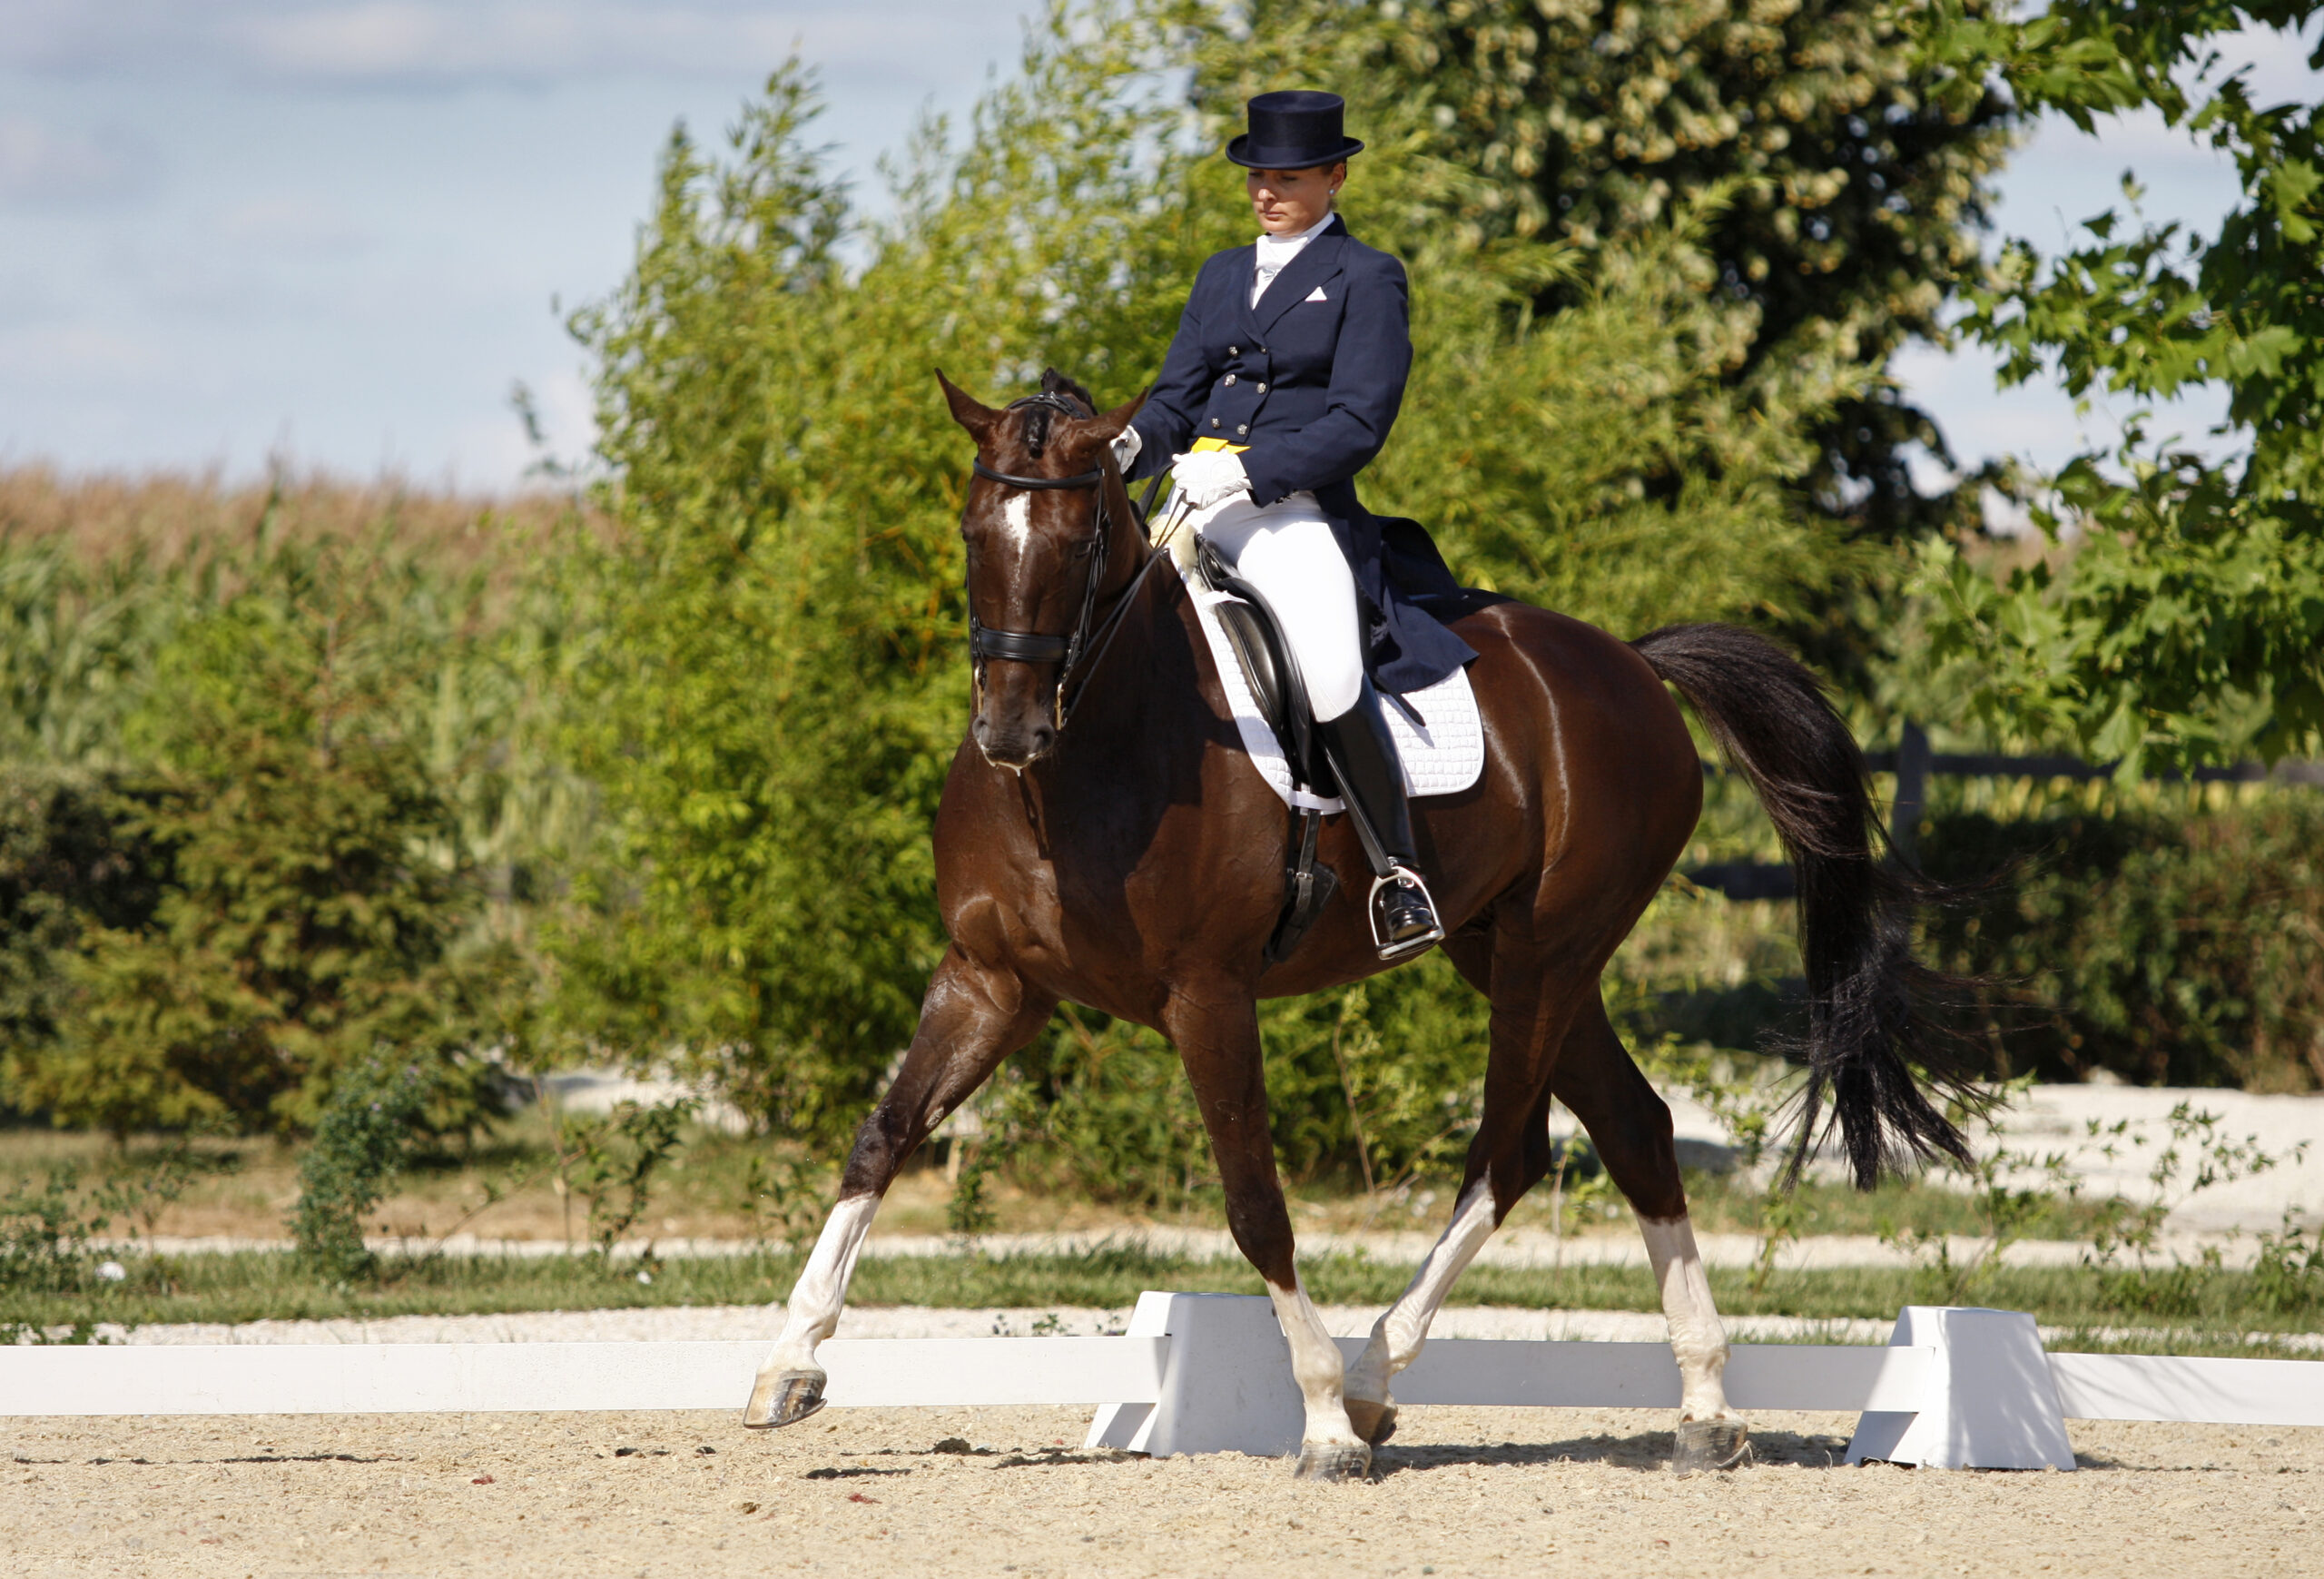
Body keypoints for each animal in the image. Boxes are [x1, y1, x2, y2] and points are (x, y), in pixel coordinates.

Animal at [743, 369, 1975, 1480]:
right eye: (971, 532)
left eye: (1082, 540)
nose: (1008, 730)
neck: (1085, 756)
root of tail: (1632, 661)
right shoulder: (990, 978)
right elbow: (881, 1135)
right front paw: (789, 1362)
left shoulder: (1208, 993)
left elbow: (1255, 1202)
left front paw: (1326, 1419)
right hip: (1513, 952)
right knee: (1634, 1126)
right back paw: (1706, 1410)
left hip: (1546, 951)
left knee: (1509, 1150)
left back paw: (1381, 1378)